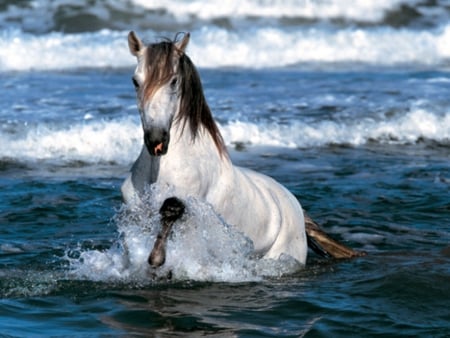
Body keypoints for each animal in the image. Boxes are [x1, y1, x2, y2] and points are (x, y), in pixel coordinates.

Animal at [120, 31, 362, 266]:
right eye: (135, 81)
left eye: (173, 81)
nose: (156, 139)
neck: (160, 168)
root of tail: (296, 208)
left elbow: (171, 210)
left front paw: (157, 259)